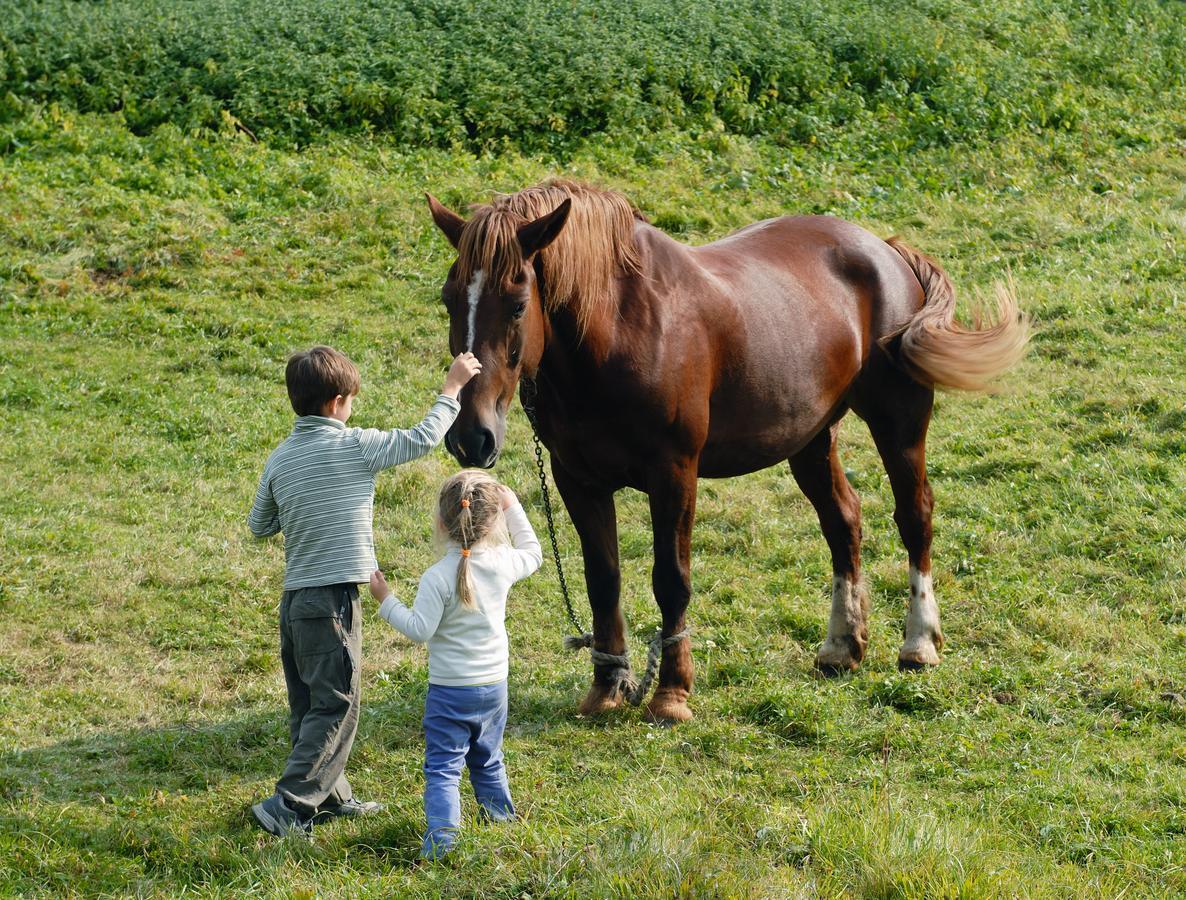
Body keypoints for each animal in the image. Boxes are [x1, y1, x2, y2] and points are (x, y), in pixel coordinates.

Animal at [426, 181, 1029, 725]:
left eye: (518, 304)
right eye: (449, 299)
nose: (470, 436)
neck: (619, 329)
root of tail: (884, 248)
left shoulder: (674, 473)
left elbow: (671, 581)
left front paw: (672, 695)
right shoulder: (578, 479)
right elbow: (604, 580)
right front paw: (608, 687)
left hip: (898, 425)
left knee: (914, 515)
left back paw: (919, 643)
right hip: (811, 438)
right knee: (844, 522)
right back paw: (842, 645)